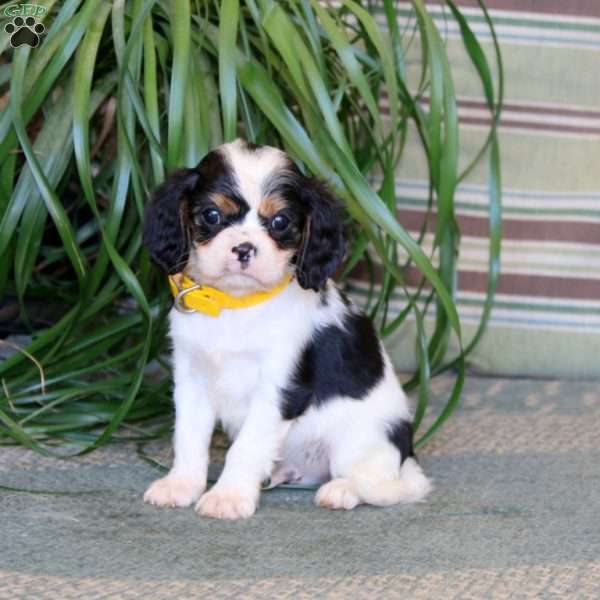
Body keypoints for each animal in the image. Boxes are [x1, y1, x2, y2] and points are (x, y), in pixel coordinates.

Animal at [142, 138, 432, 516]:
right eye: (211, 215)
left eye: (280, 221)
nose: (244, 248)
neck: (237, 306)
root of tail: (405, 453)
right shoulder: (192, 380)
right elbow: (189, 438)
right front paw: (181, 485)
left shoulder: (278, 390)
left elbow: (246, 447)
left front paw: (228, 496)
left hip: (362, 441)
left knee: (377, 483)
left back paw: (341, 490)